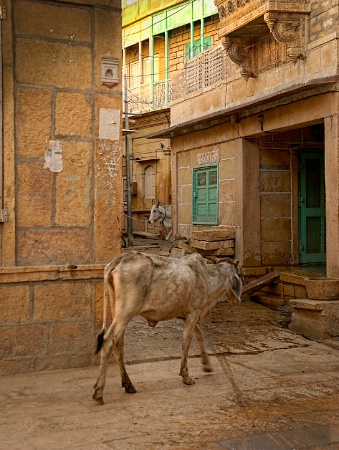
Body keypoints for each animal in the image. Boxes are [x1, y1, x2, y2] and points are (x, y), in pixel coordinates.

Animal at [91, 250, 243, 404]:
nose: (237, 299)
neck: (207, 277)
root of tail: (120, 258)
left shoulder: (186, 315)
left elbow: (199, 335)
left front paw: (207, 365)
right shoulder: (193, 313)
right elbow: (186, 343)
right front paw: (186, 376)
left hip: (117, 312)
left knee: (118, 344)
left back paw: (128, 385)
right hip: (126, 313)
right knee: (108, 342)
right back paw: (99, 392)